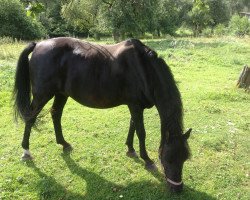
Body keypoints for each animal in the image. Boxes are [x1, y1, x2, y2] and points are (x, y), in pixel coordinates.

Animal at [13, 37, 192, 192]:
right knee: (31, 118)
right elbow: (141, 132)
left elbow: (132, 125)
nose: (177, 189)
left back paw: (63, 143)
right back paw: (26, 151)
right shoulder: (135, 105)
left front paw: (130, 149)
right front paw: (147, 159)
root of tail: (38, 45)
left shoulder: (135, 106)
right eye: (167, 159)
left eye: (185, 158)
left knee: (56, 114)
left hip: (61, 93)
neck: (144, 69)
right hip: (42, 94)